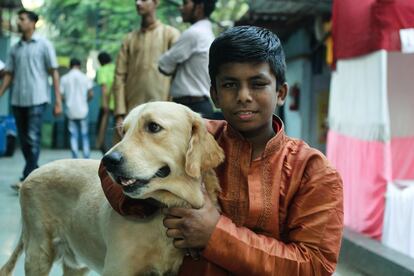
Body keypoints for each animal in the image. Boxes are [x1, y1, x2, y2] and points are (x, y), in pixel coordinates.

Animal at [0, 102, 225, 276]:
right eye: (123, 132)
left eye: (153, 127)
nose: (108, 161)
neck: (163, 210)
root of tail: (31, 174)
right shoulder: (117, 268)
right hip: (38, 252)